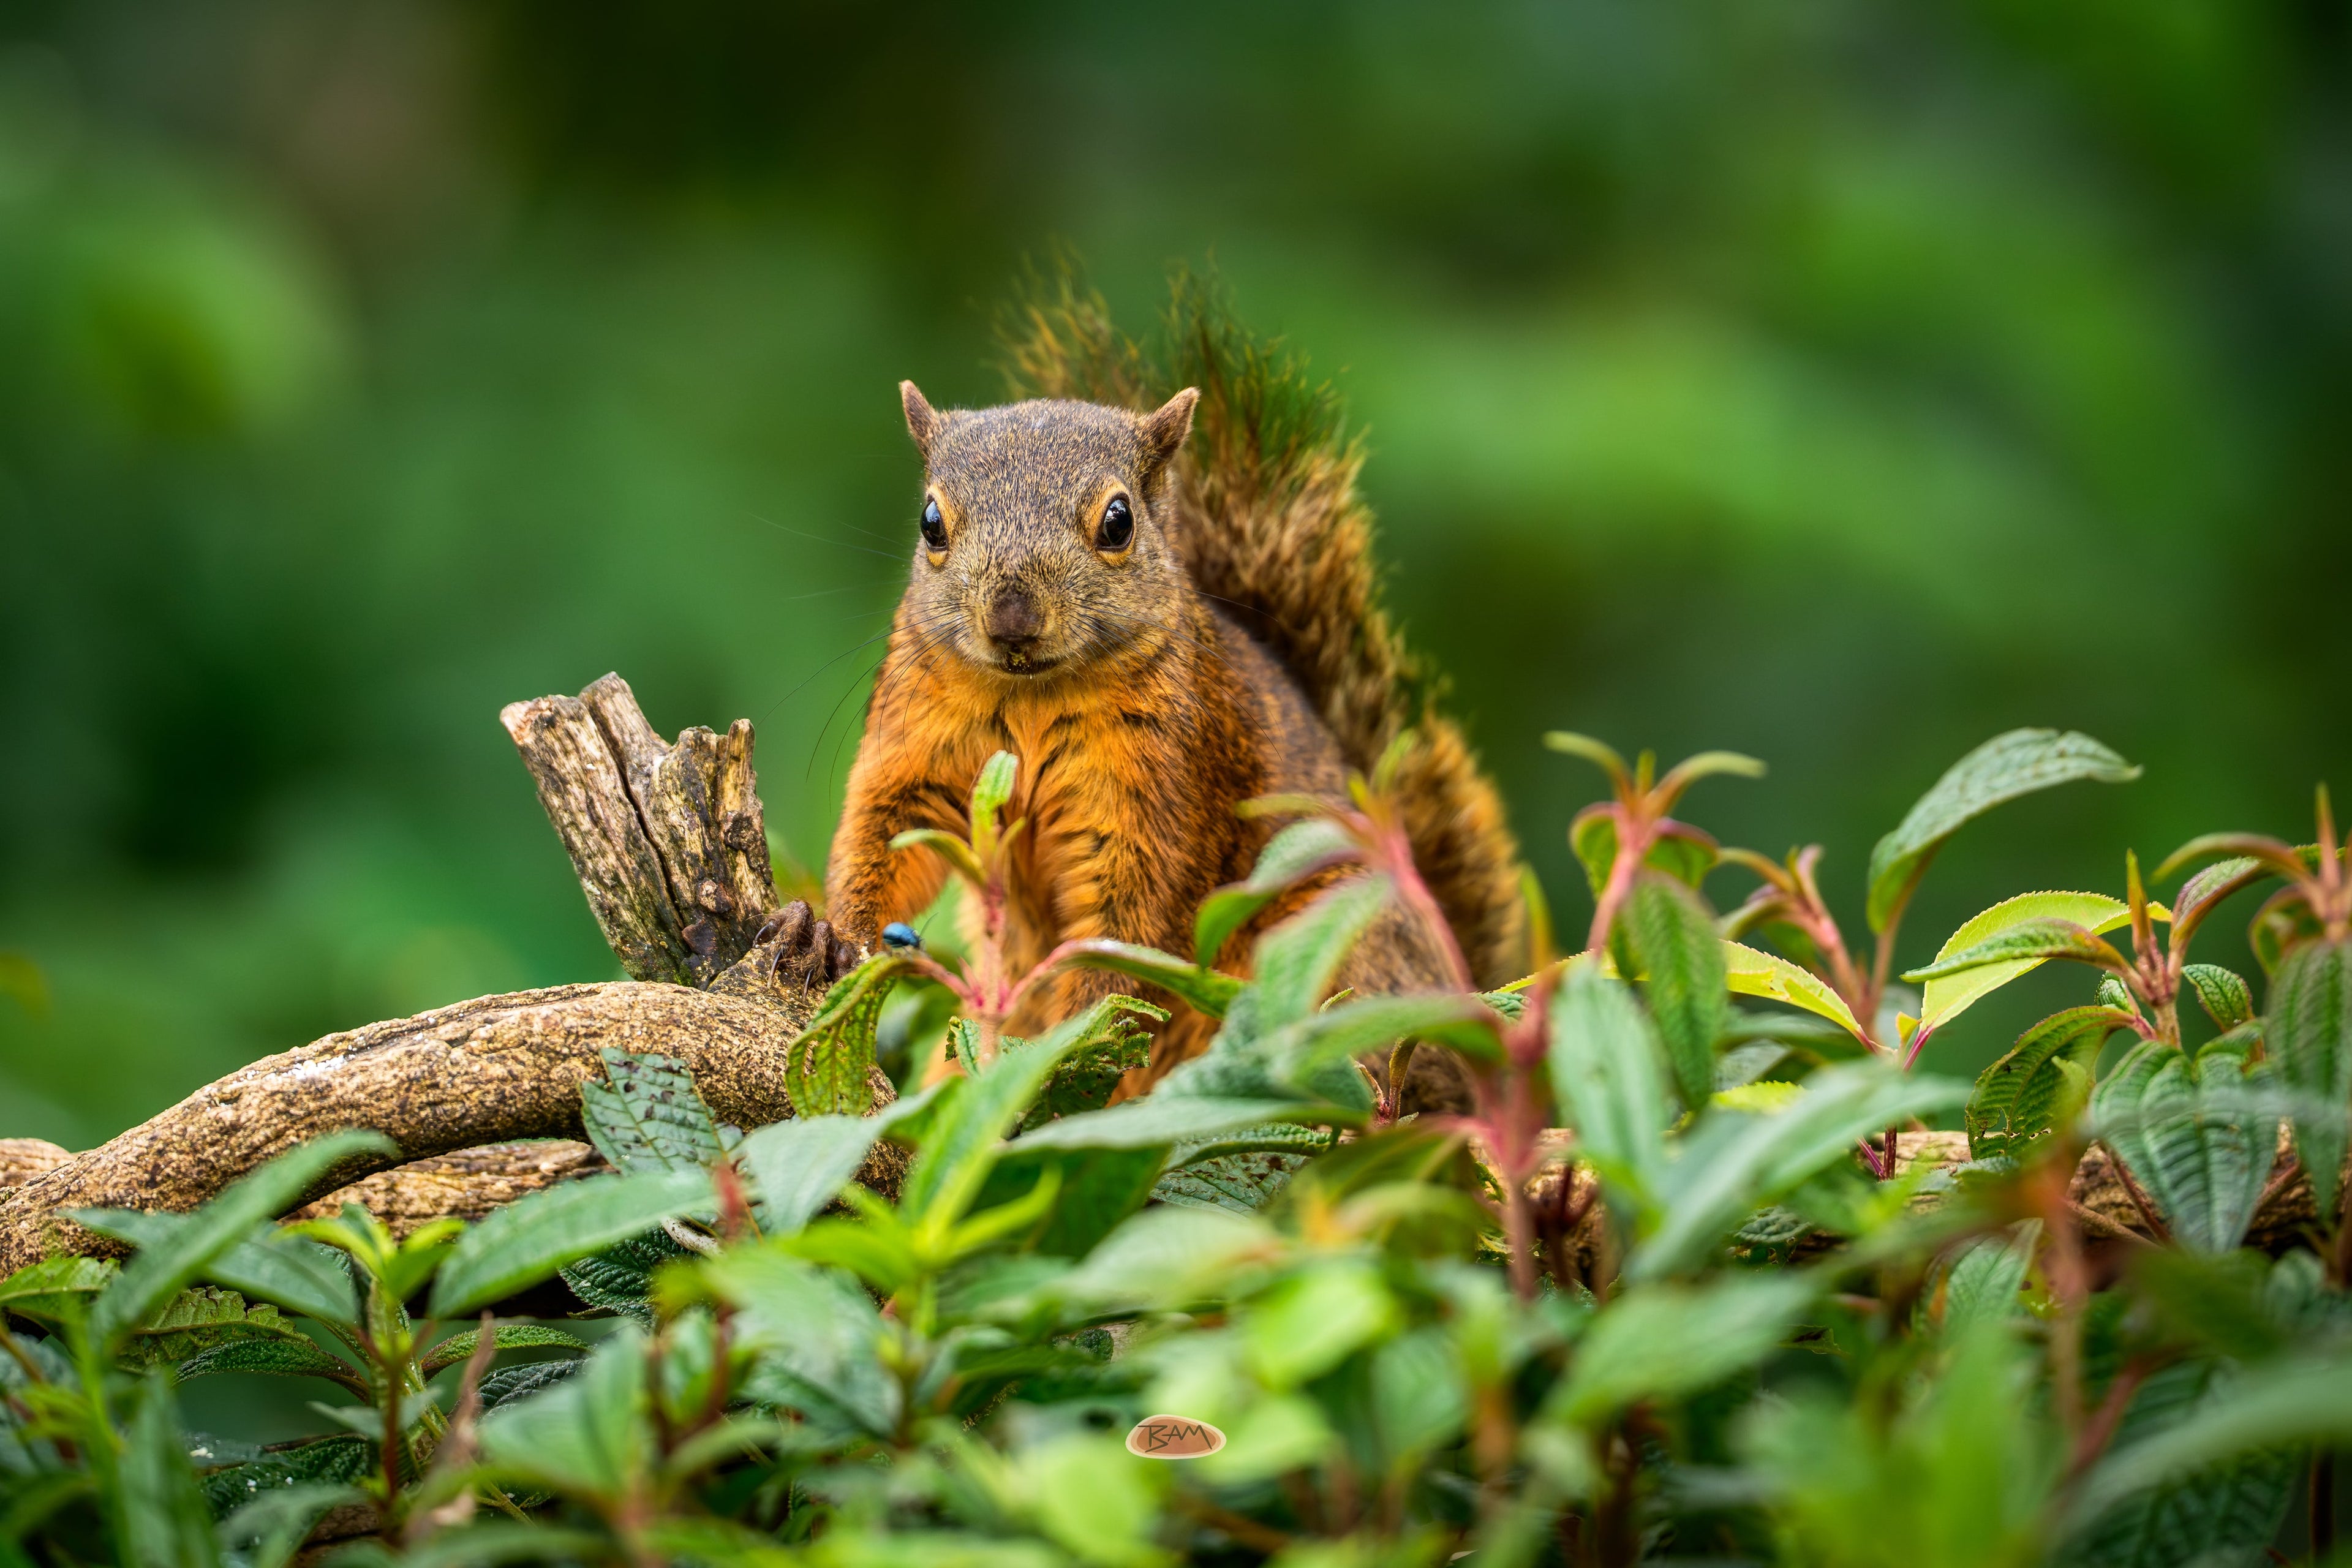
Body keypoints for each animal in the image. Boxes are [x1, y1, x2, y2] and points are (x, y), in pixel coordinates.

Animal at [816, 287, 1525, 1106]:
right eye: (931, 522)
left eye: (1118, 521)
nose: (1012, 615)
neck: (1030, 700)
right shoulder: (920, 745)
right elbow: (885, 835)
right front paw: (829, 933)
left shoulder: (1164, 789)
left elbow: (1128, 929)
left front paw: (1075, 1041)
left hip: (1340, 955)